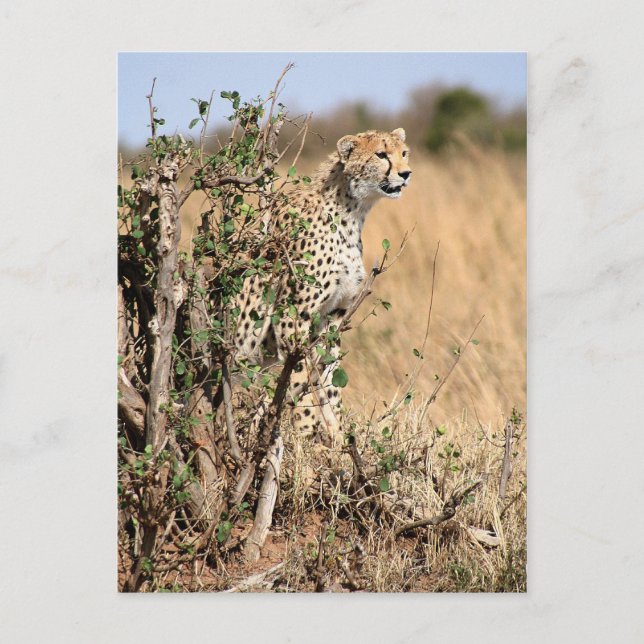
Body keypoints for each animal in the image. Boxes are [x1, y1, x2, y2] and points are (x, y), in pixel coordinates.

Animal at [232, 128, 411, 443]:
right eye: (380, 154)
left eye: (404, 153)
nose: (406, 173)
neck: (350, 211)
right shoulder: (293, 316)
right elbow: (299, 376)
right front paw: (307, 431)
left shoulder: (332, 315)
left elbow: (328, 378)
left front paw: (337, 437)